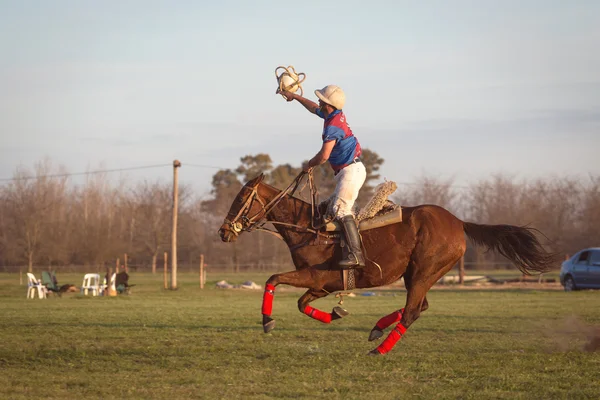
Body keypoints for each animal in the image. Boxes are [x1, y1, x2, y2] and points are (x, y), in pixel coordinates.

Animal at [217, 173, 556, 354]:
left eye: (240, 200)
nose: (223, 231)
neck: (308, 227)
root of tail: (459, 221)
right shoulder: (323, 285)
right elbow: (301, 304)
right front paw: (334, 315)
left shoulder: (315, 276)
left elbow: (273, 278)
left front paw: (267, 321)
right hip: (418, 274)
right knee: (419, 307)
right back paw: (377, 329)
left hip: (423, 271)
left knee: (412, 310)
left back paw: (378, 349)